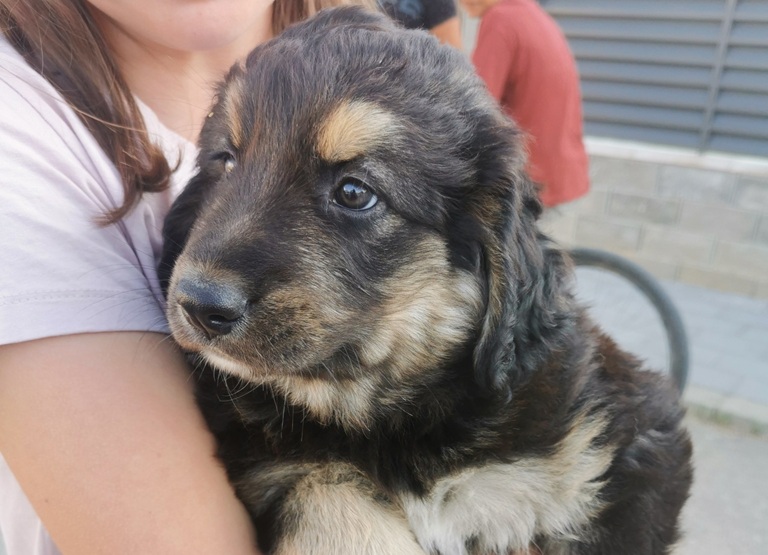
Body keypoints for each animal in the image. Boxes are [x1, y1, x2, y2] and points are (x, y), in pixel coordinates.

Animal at [158, 7, 692, 554]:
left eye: (355, 192)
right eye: (225, 161)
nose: (198, 303)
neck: (393, 424)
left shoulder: (618, 443)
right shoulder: (268, 459)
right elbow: (327, 494)